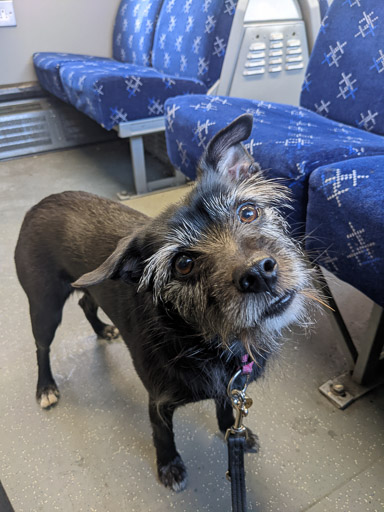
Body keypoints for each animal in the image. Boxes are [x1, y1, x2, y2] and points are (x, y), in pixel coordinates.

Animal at [15, 114, 320, 490]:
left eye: (248, 212)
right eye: (183, 264)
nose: (259, 274)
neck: (207, 341)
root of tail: (39, 204)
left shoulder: (229, 387)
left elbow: (225, 409)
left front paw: (232, 433)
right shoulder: (158, 401)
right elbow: (162, 433)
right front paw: (169, 466)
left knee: (86, 303)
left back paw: (102, 330)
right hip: (44, 305)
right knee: (42, 346)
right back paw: (46, 387)